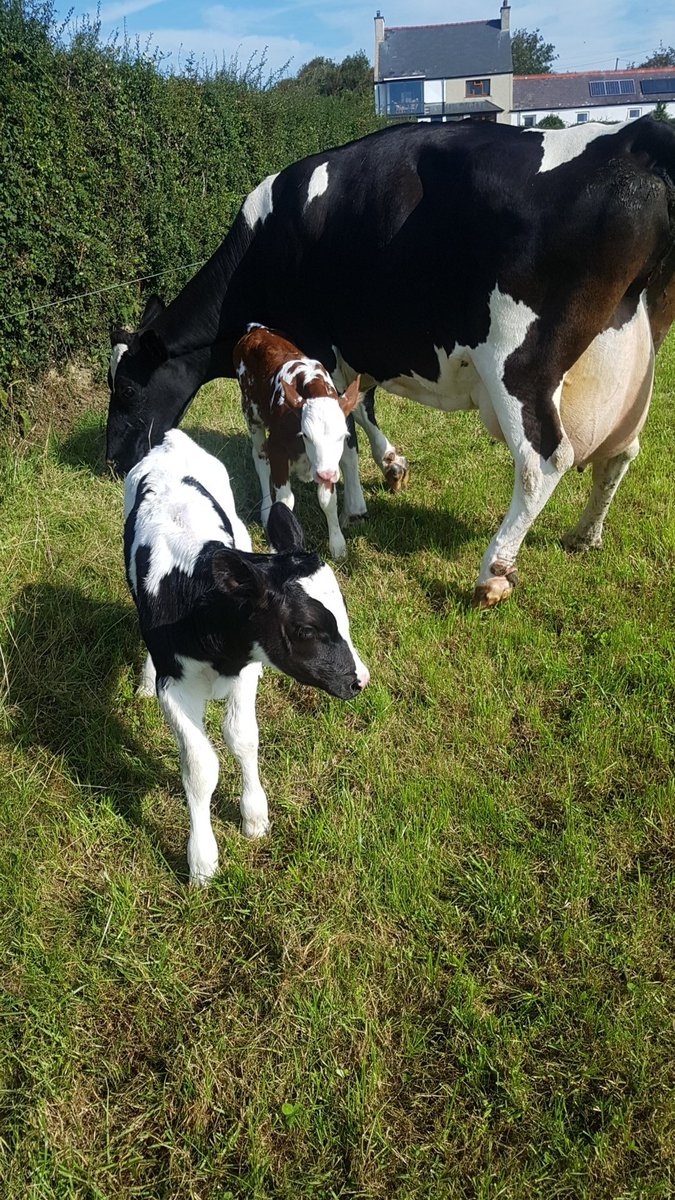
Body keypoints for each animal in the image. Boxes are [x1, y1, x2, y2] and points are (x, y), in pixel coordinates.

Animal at [124, 429, 369, 885]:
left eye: (343, 613)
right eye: (306, 629)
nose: (359, 679)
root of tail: (171, 438)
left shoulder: (247, 670)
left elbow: (242, 738)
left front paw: (254, 817)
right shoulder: (176, 687)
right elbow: (201, 766)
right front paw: (202, 861)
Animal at [233, 324, 362, 559]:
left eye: (343, 436)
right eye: (306, 435)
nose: (326, 475)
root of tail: (257, 329)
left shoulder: (326, 464)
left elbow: (327, 501)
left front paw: (337, 544)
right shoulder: (278, 450)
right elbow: (285, 501)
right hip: (251, 413)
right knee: (260, 459)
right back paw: (266, 510)